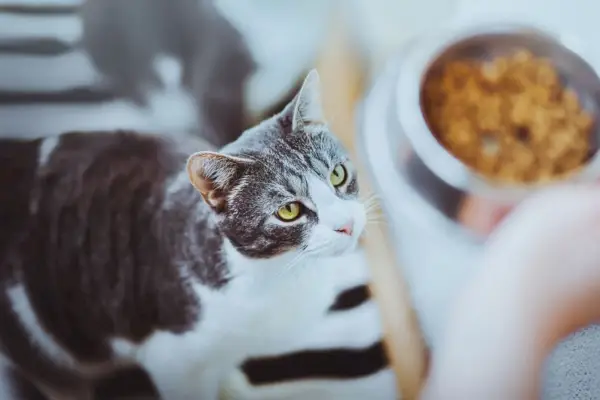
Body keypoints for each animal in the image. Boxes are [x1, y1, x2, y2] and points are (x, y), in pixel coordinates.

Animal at [0, 70, 370, 398]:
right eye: (289, 211)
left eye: (338, 174)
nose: (347, 224)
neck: (281, 274)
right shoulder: (171, 358)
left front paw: (236, 389)